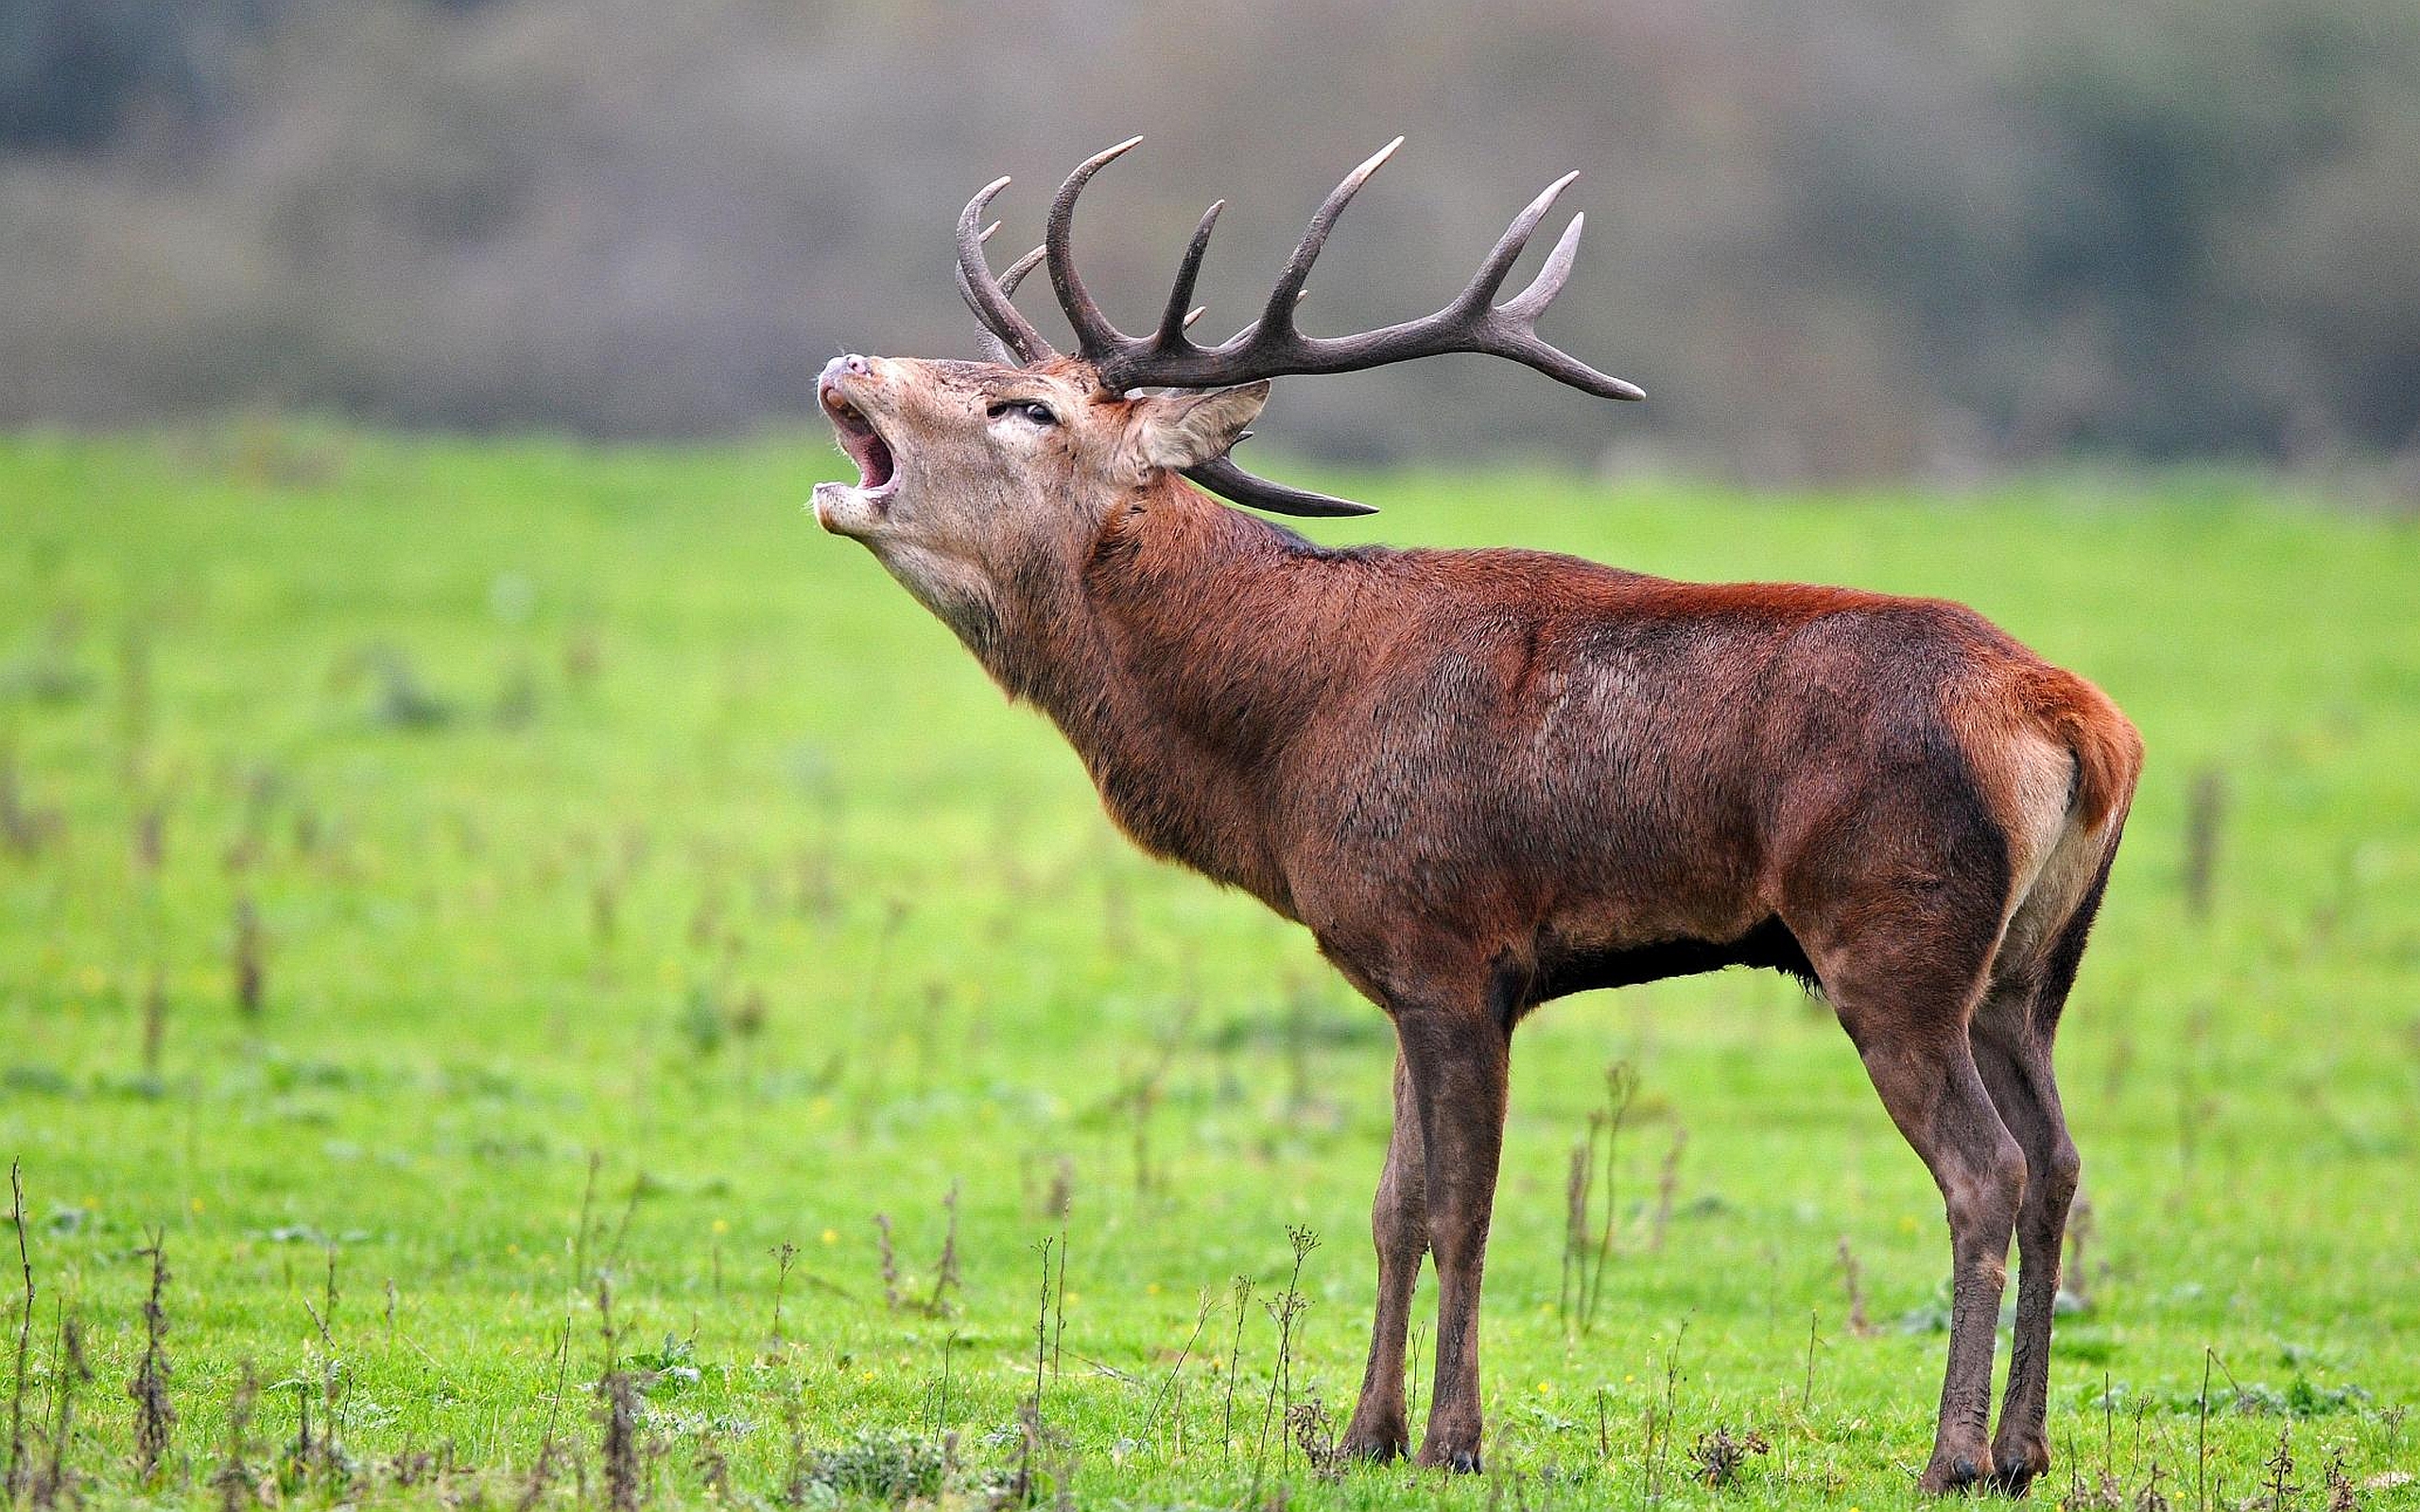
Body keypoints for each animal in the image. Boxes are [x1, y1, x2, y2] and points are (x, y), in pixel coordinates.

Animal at [813, 138, 2139, 1489]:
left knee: (1986, 1170)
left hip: (1895, 939)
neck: (1284, 739)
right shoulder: (1399, 971)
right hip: (2027, 969)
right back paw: (2024, 1448)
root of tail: (2079, 722)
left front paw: (1452, 1438)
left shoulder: (1454, 946)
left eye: (1028, 409)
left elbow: (1462, 1207)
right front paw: (1362, 1435)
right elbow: (1392, 1206)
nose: (847, 363)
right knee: (2059, 1163)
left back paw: (1953, 1455)